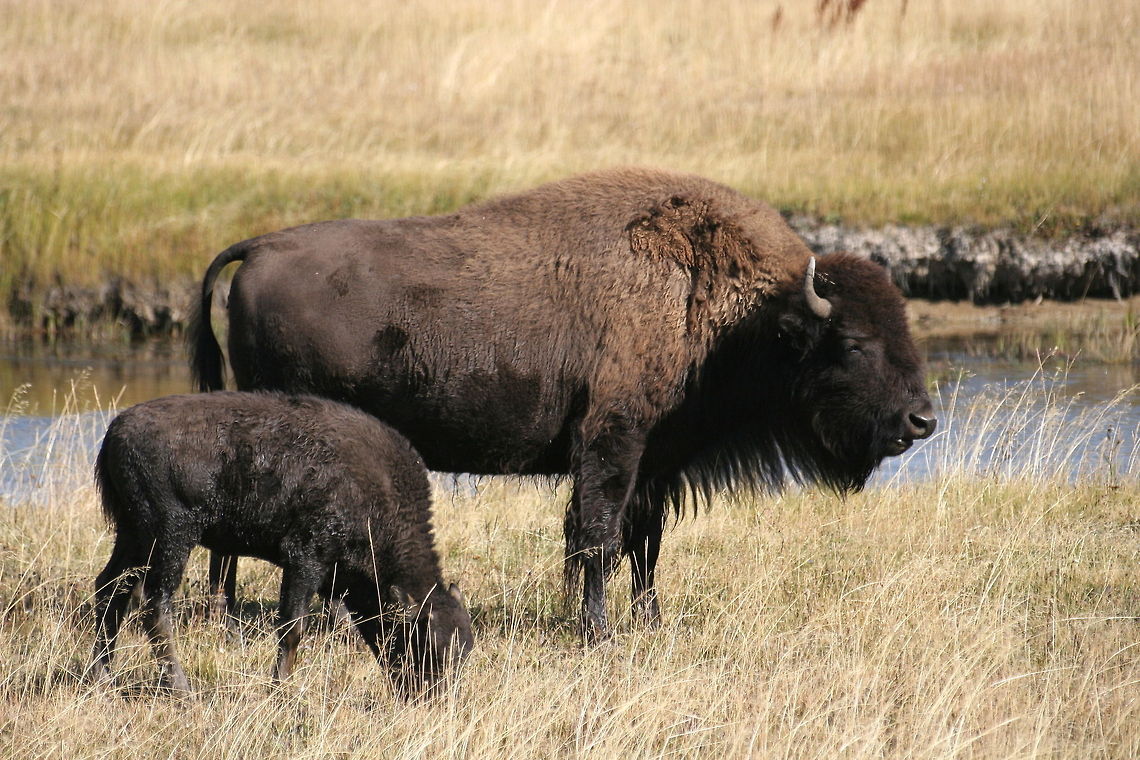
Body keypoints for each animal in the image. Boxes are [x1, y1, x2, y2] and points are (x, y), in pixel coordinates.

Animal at [190, 168, 935, 641]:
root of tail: (260, 246)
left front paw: (649, 623)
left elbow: (643, 544)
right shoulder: (612, 441)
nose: (923, 420)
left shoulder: (653, 462)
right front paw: (596, 634)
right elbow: (597, 541)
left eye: (905, 327)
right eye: (855, 345)